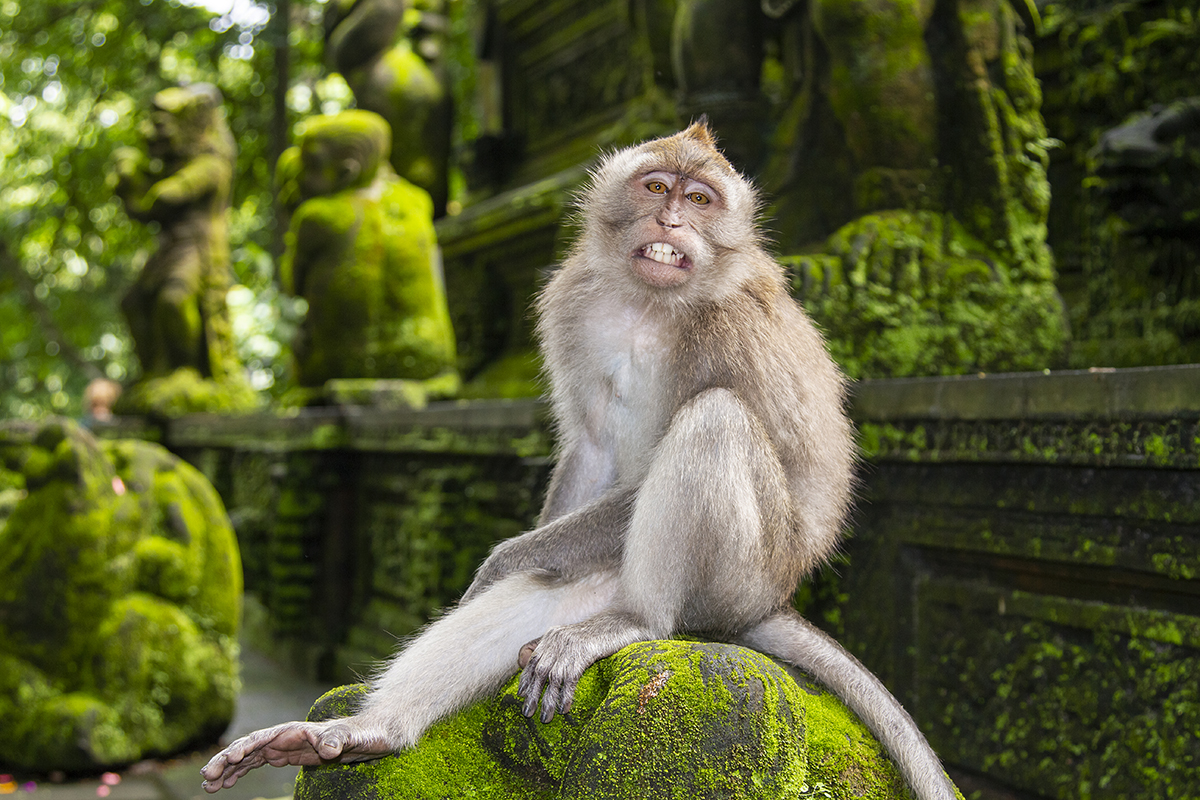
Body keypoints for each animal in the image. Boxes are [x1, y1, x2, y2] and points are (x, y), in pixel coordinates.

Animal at [204, 122, 955, 796]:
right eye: (655, 186)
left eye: (700, 199)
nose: (671, 218)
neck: (649, 303)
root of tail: (776, 599)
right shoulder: (572, 301)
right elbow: (590, 449)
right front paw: (507, 570)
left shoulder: (734, 330)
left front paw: (497, 561)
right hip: (619, 572)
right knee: (551, 582)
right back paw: (370, 732)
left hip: (739, 577)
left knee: (716, 420)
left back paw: (636, 621)